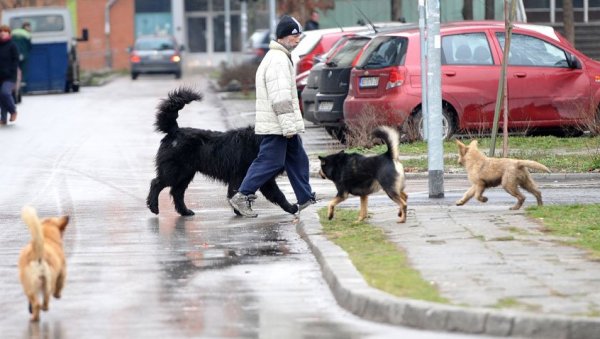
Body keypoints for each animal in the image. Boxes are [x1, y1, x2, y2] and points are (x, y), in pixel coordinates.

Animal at [148, 87, 298, 215]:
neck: (259, 142)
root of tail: (174, 130)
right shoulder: (244, 176)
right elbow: (274, 194)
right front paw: (292, 208)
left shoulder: (260, 179)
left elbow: (272, 194)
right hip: (175, 171)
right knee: (157, 183)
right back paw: (153, 207)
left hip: (186, 174)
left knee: (177, 192)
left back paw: (185, 211)